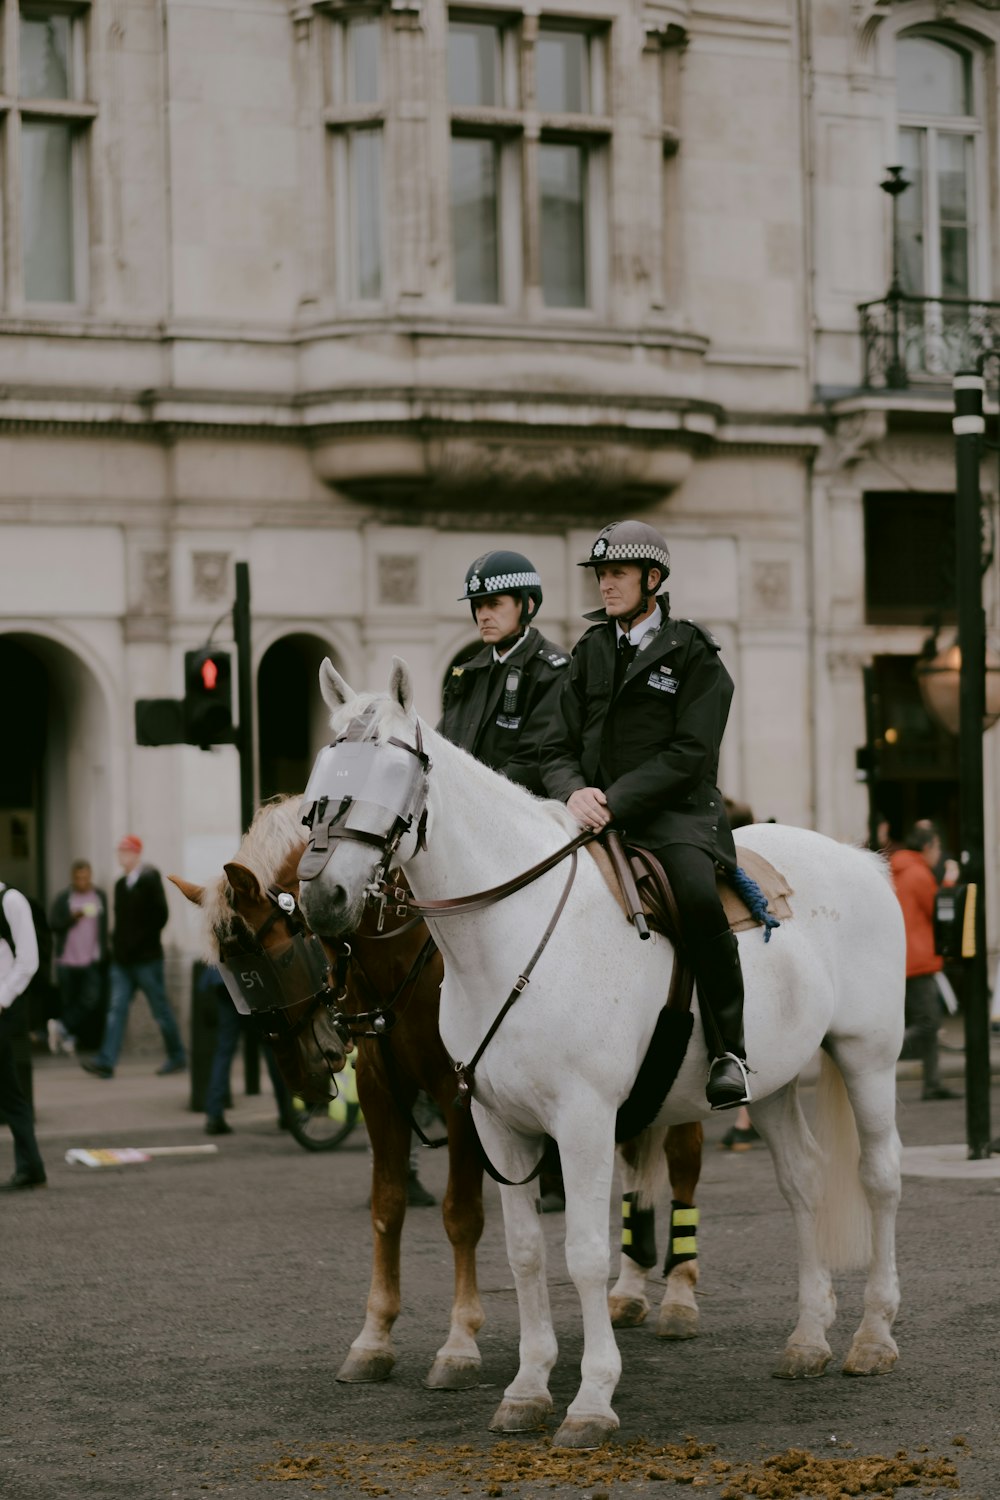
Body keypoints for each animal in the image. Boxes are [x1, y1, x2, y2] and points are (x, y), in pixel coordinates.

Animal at [170, 798, 704, 1380]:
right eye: (233, 978)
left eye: (278, 960)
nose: (303, 1076)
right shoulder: (380, 1089)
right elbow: (387, 1206)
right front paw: (375, 1336)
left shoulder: (460, 1095)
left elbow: (461, 1215)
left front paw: (459, 1341)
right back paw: (629, 1290)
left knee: (682, 1162)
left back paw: (679, 1295)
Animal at [295, 663, 905, 1446]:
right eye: (320, 774)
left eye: (393, 769)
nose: (323, 896)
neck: (508, 932)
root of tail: (863, 858)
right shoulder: (496, 1124)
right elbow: (525, 1252)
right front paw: (527, 1387)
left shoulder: (583, 1121)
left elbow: (585, 1253)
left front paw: (591, 1398)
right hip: (767, 1086)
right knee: (803, 1181)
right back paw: (807, 1338)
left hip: (868, 1056)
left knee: (878, 1178)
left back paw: (873, 1336)